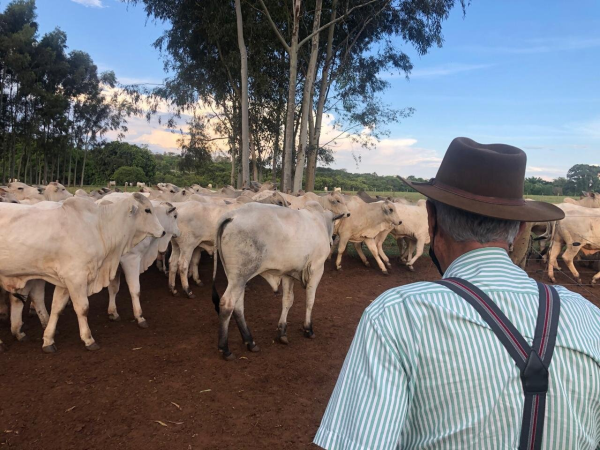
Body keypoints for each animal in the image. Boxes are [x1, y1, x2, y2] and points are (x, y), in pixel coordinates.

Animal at [0, 194, 164, 352]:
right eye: (147, 210)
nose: (163, 231)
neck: (99, 227)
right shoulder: (76, 278)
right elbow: (83, 308)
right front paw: (88, 339)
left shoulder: (65, 281)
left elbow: (57, 308)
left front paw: (48, 340)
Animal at [212, 202, 348, 360]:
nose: (333, 240)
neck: (319, 220)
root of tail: (232, 215)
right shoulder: (316, 269)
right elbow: (310, 300)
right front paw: (308, 328)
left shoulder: (288, 274)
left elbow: (287, 301)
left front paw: (282, 331)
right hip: (239, 276)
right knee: (227, 304)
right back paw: (225, 349)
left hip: (236, 278)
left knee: (238, 306)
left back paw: (250, 341)